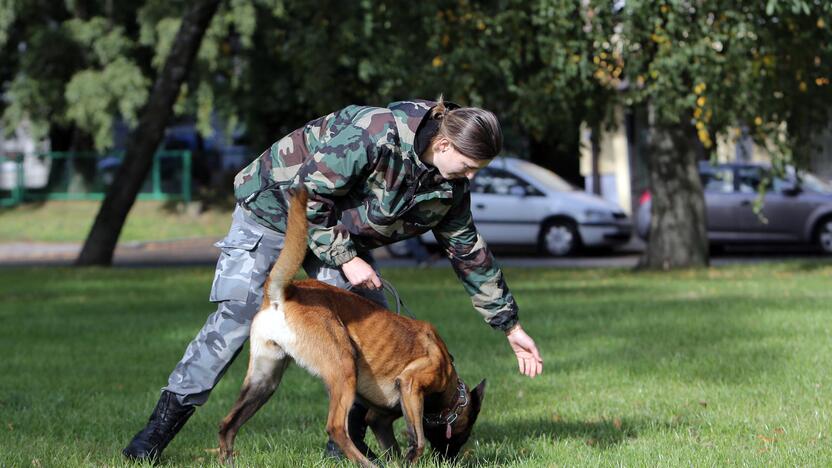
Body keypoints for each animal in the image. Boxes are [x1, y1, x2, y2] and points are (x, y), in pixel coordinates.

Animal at [218, 188, 484, 466]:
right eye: (465, 433)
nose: (450, 459)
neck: (449, 382)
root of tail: (285, 293)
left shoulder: (380, 419)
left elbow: (390, 440)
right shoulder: (411, 384)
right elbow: (418, 440)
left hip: (264, 380)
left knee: (227, 424)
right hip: (344, 367)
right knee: (335, 427)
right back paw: (365, 462)